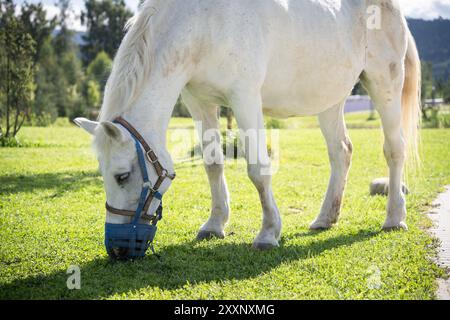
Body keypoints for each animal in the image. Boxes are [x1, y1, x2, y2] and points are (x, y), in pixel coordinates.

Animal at [74, 0, 422, 250]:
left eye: (121, 176)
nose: (117, 248)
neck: (203, 22)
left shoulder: (245, 98)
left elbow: (258, 169)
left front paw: (268, 233)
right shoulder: (199, 102)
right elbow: (213, 164)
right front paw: (215, 225)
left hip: (385, 85)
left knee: (394, 150)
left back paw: (394, 218)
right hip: (329, 99)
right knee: (341, 152)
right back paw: (326, 218)